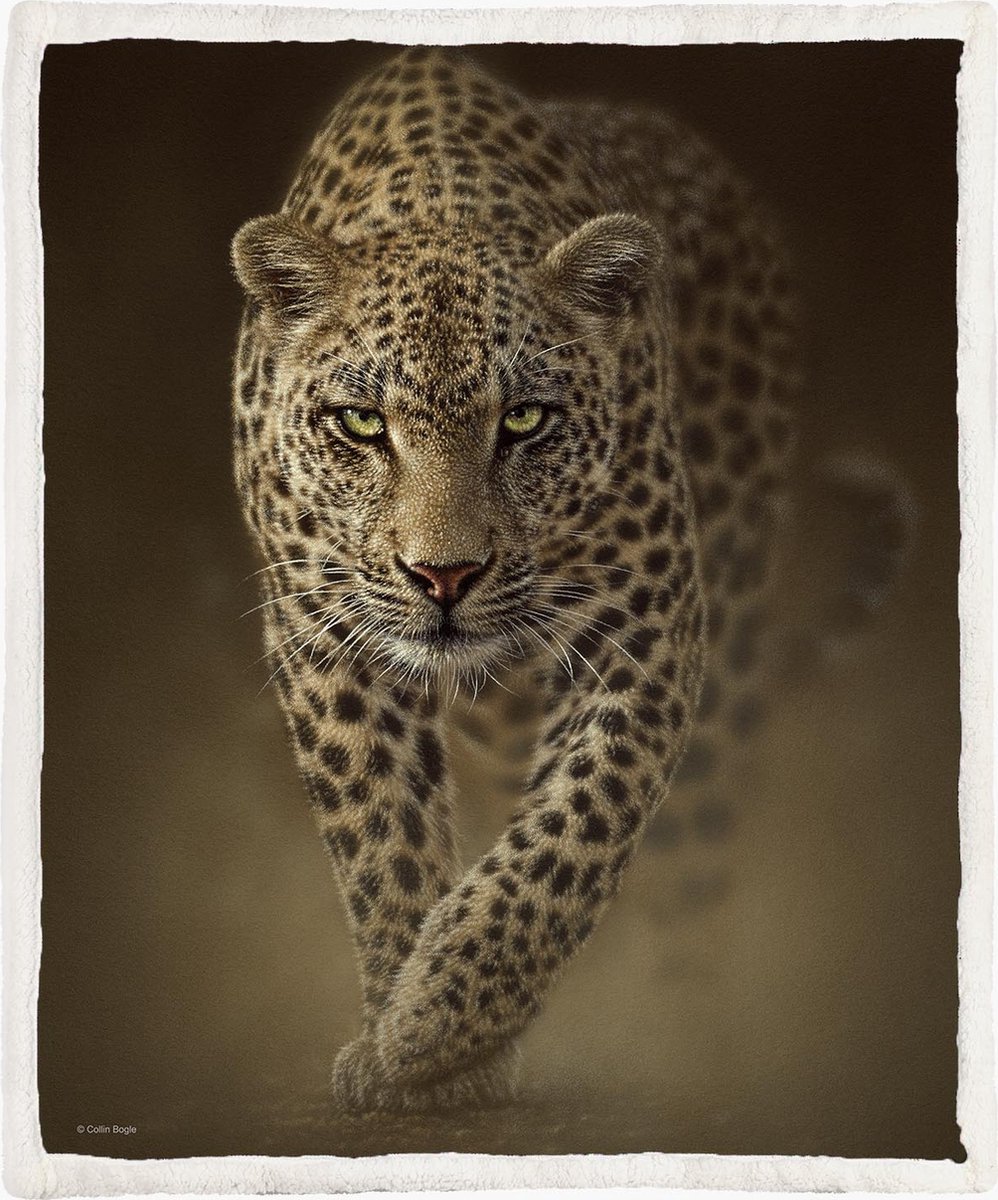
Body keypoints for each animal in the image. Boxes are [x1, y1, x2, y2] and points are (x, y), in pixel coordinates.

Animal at [230, 45, 800, 1113]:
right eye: (361, 424)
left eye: (526, 420)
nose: (443, 577)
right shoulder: (319, 631)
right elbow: (380, 832)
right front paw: (413, 1043)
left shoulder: (646, 624)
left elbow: (576, 830)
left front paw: (440, 1025)